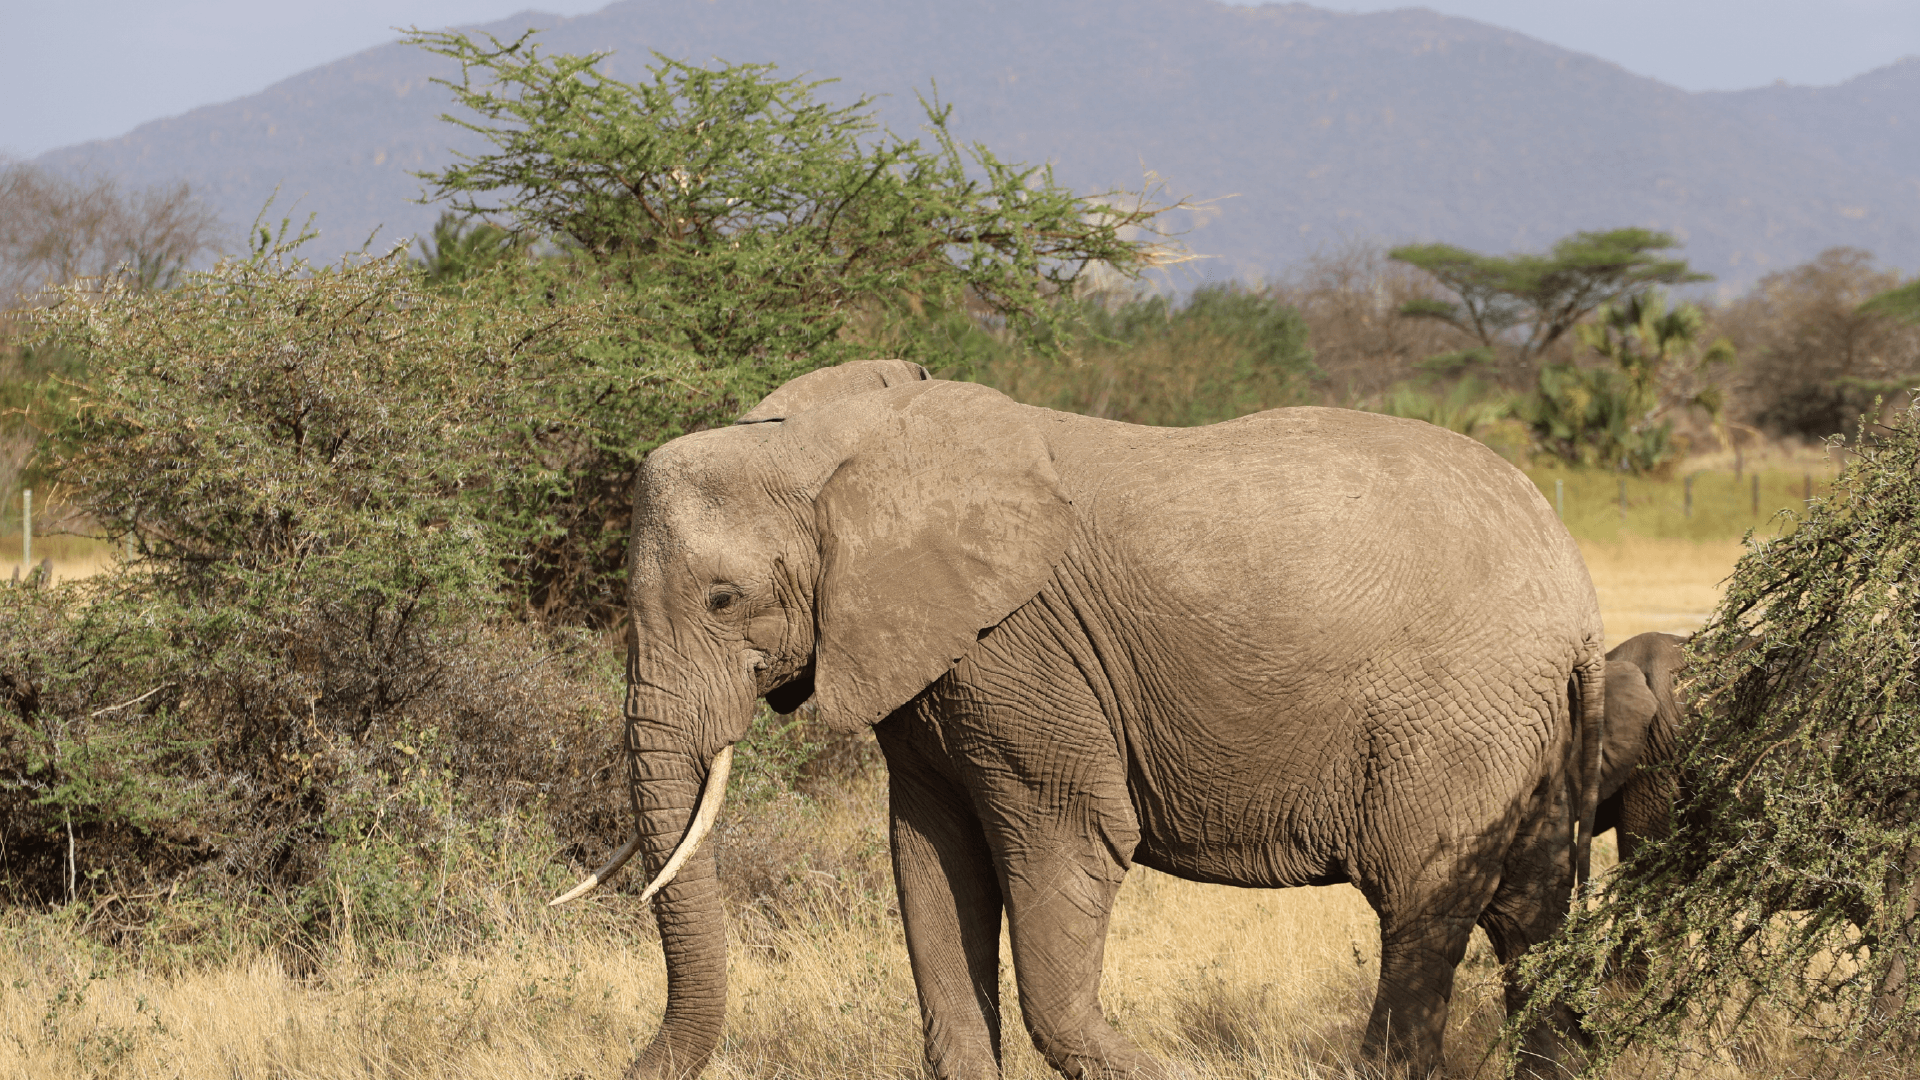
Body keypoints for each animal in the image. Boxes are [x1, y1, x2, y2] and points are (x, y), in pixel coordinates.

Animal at [552, 359, 1609, 1079]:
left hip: (1454, 717)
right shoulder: (934, 665)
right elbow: (930, 857)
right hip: (1527, 727)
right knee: (1532, 916)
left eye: (723, 600)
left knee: (1423, 907)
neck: (840, 439)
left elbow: (1070, 840)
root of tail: (1577, 588)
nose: (621, 1067)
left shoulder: (1022, 654)